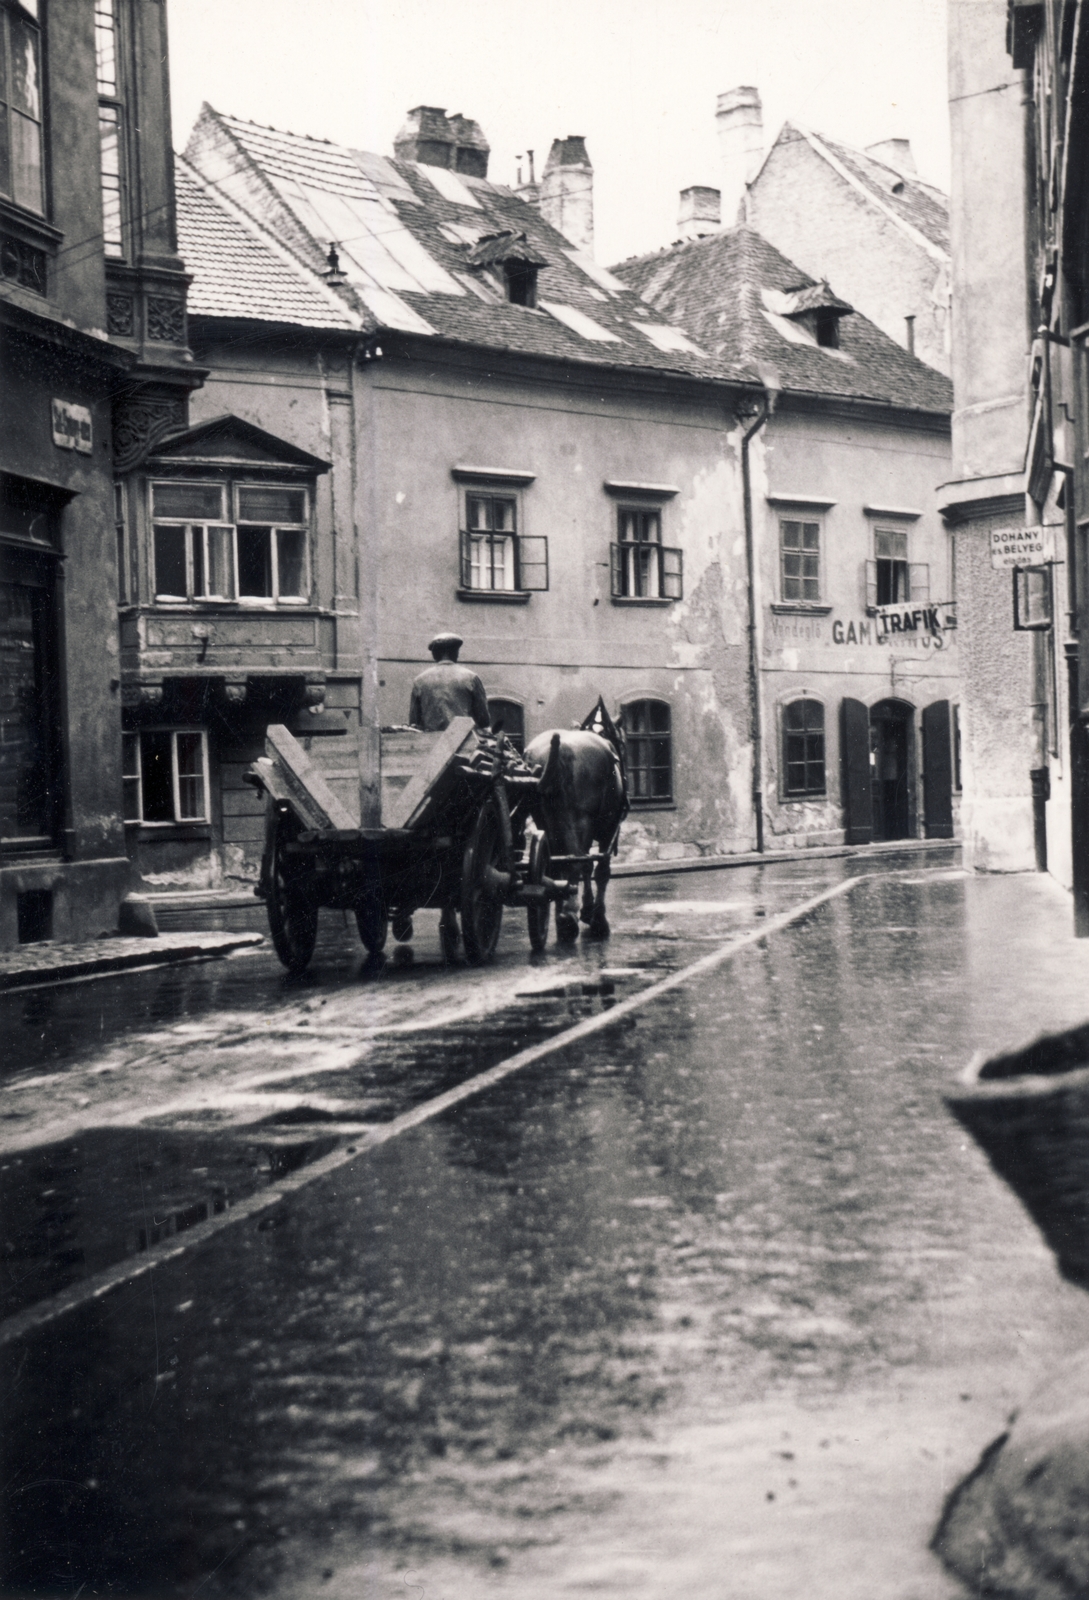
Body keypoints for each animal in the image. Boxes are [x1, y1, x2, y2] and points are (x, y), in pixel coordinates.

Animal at [527, 726, 630, 934]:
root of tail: (559, 750)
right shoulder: (609, 829)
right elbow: (600, 870)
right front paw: (596, 916)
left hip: (548, 822)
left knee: (557, 864)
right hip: (581, 822)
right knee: (576, 861)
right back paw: (569, 915)